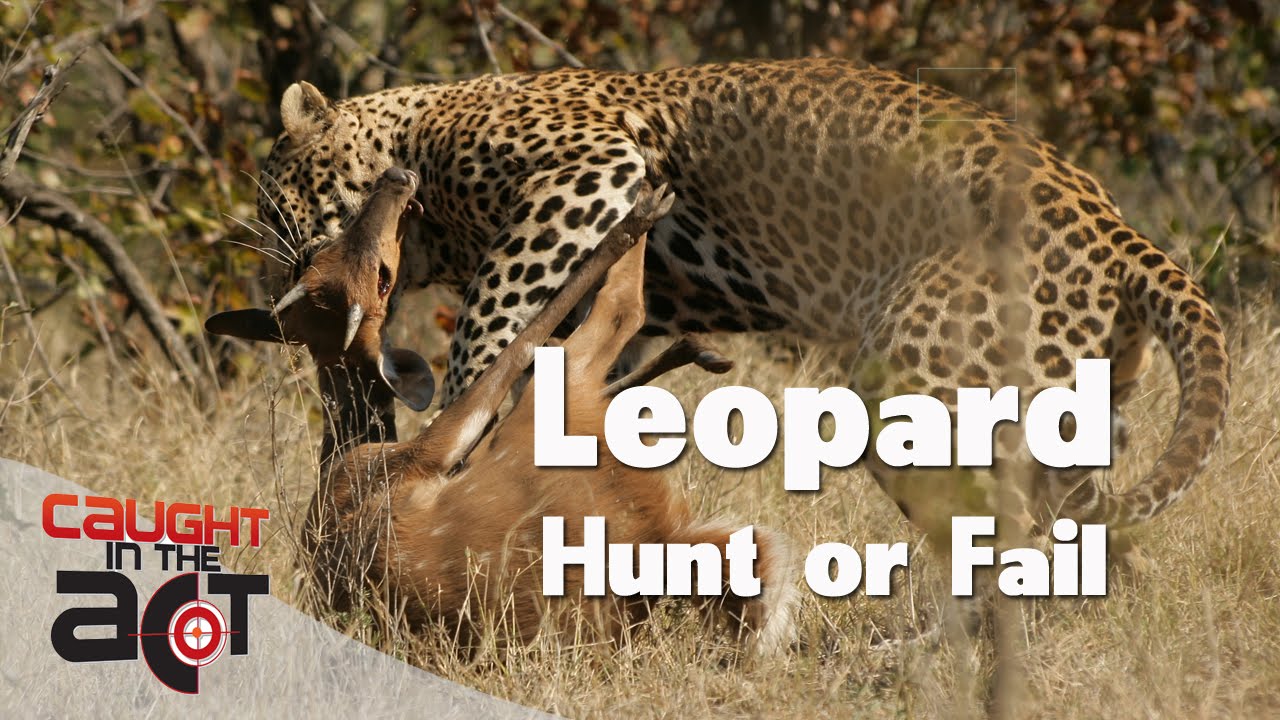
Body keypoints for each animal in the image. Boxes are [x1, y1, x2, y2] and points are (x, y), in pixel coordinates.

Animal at [250, 57, 1230, 549]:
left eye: (272, 201)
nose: (276, 292)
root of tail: (1120, 232)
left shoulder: (587, 170)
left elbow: (497, 317)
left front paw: (455, 416)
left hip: (916, 378)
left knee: (1012, 531)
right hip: (1061, 403)